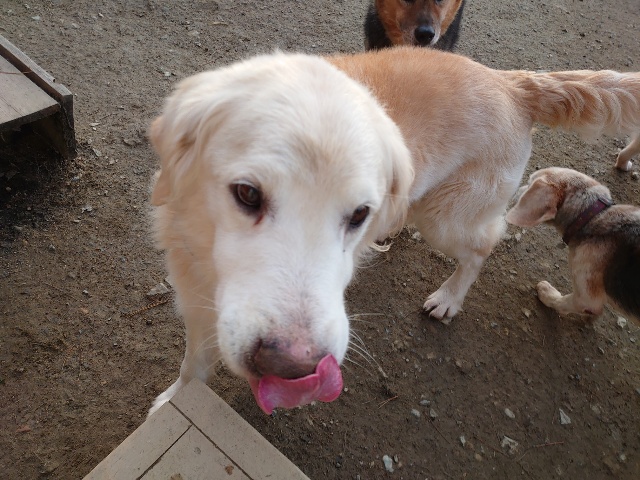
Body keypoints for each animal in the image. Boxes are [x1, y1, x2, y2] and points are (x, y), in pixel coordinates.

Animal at [506, 167, 639, 321]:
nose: (516, 191)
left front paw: (547, 294)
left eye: (529, 183)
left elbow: (564, 302)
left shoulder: (586, 298)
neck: (592, 217)